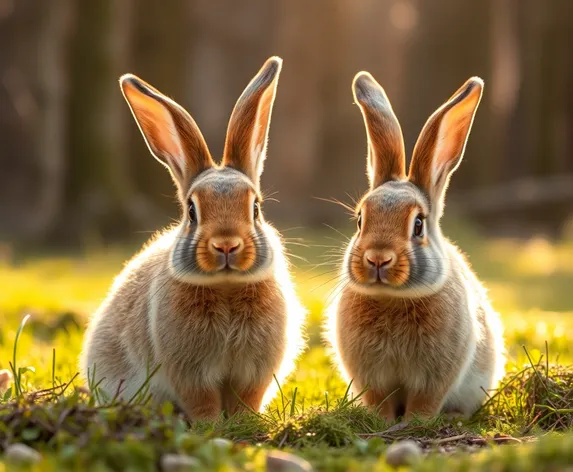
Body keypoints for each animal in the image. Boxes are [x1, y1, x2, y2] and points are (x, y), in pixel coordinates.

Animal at [79, 56, 308, 420]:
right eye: (191, 211)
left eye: (255, 208)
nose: (226, 244)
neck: (226, 286)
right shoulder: (189, 372)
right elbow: (202, 400)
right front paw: (211, 425)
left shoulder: (254, 371)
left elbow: (247, 398)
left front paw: (245, 422)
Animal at [324, 73, 502, 420]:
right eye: (360, 220)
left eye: (418, 225)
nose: (378, 259)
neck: (392, 298)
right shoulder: (373, 378)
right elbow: (380, 401)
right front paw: (382, 421)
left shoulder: (434, 378)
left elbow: (425, 402)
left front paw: (416, 423)